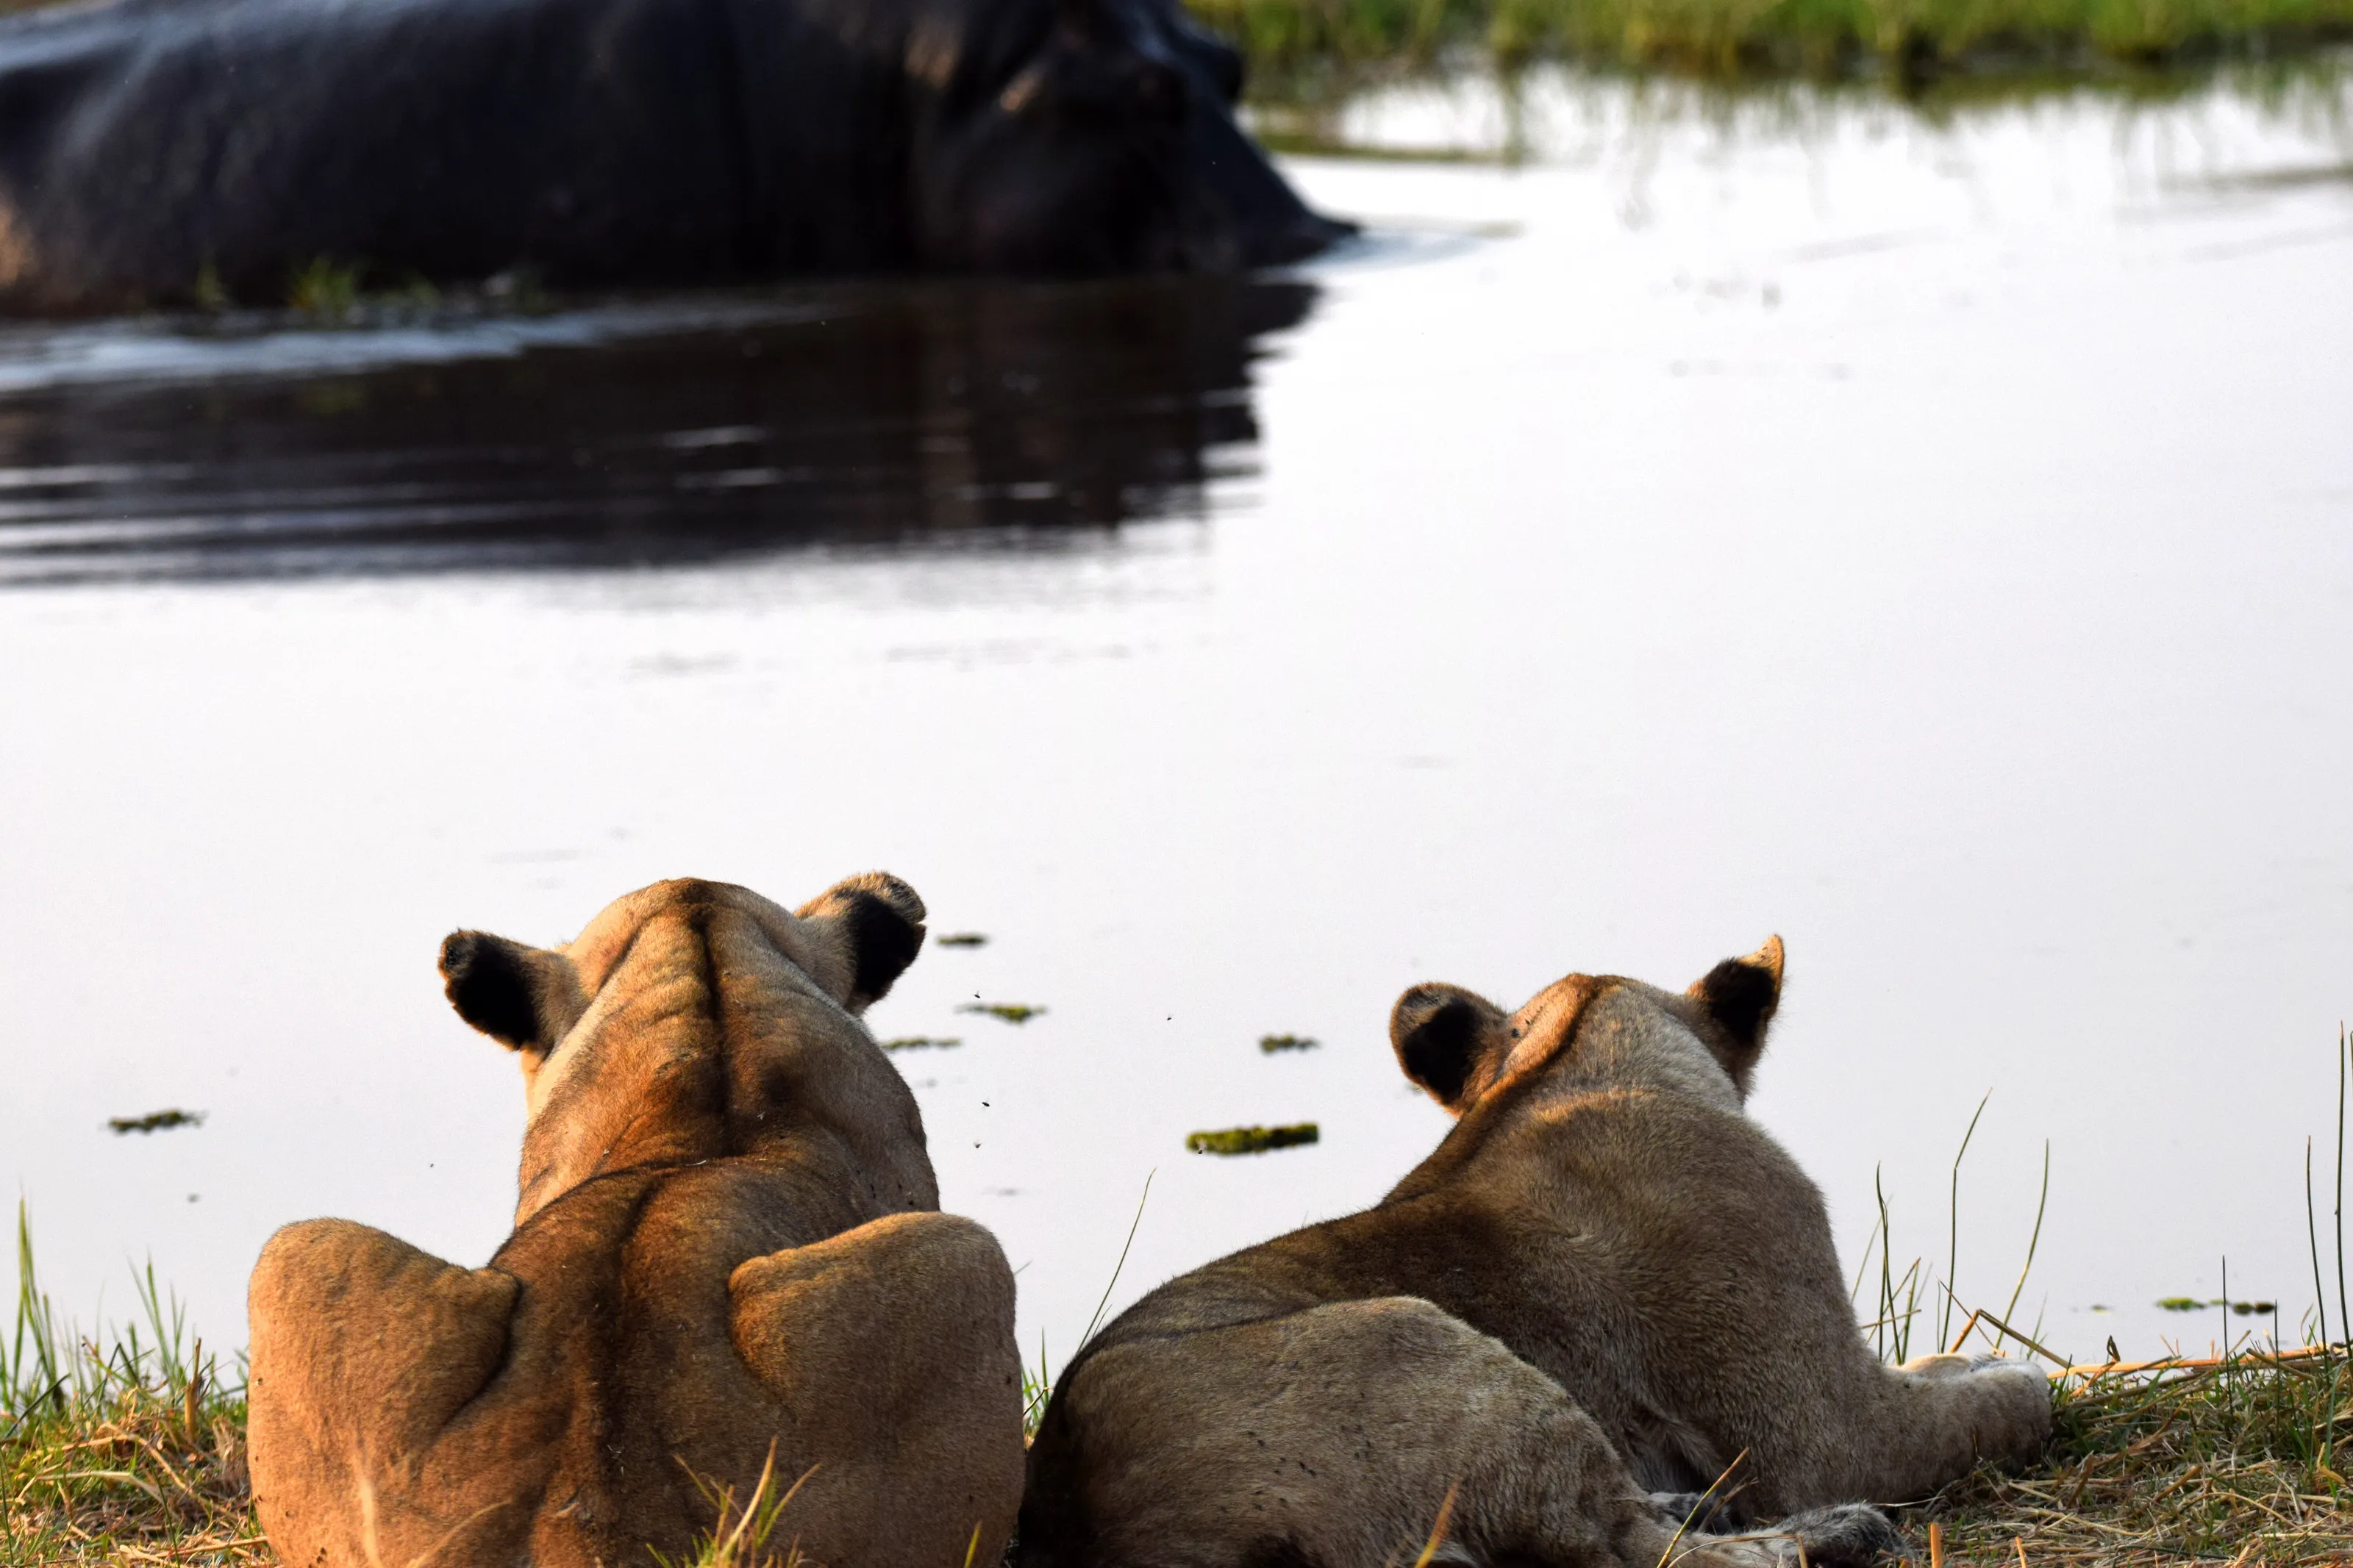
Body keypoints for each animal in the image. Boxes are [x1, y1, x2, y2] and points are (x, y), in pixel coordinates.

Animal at [1017, 938, 2051, 1568]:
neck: (1567, 1066)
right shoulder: (1827, 1432)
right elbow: (2008, 1401)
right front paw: (2000, 1372)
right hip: (1428, 1342)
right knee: (1637, 1550)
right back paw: (1834, 1532)